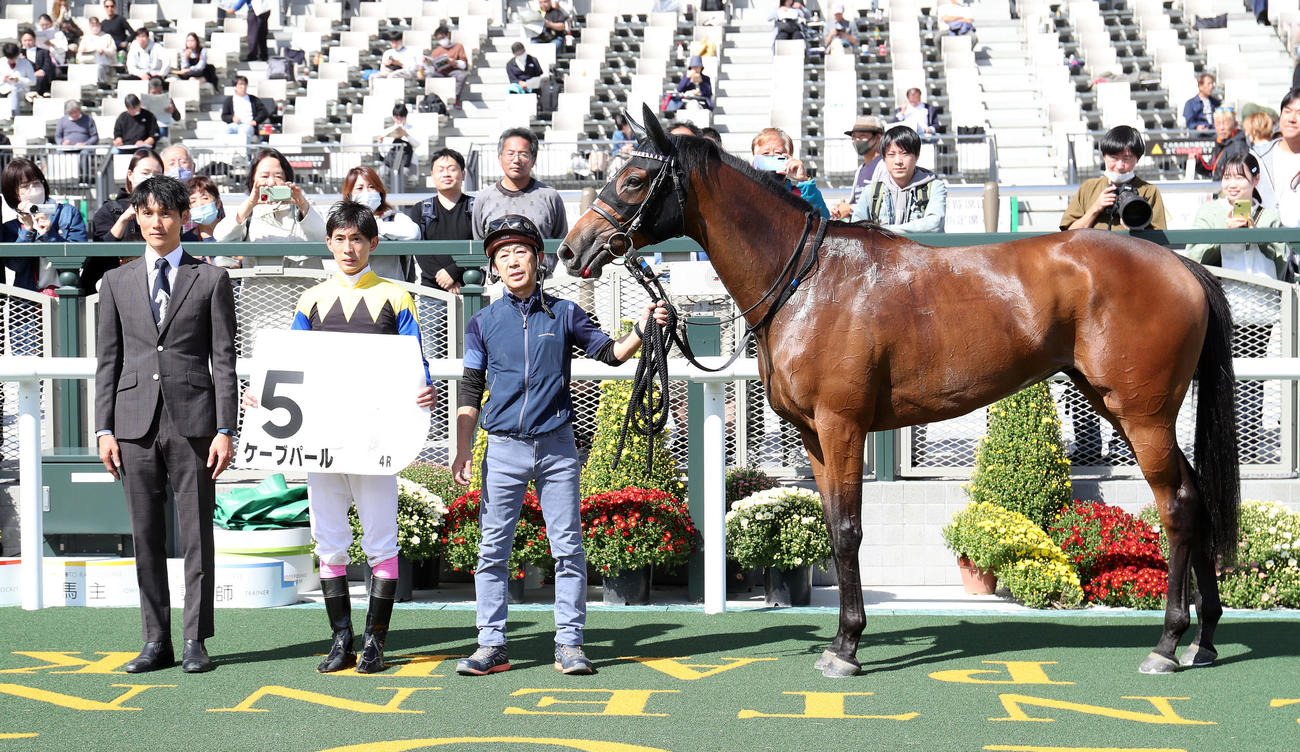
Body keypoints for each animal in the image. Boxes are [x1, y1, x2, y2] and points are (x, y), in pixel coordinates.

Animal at [557, 105, 1240, 678]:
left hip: (1143, 415)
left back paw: (1167, 645)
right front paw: (840, 640)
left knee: (1179, 505)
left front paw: (847, 648)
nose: (571, 248)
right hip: (1122, 407)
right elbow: (834, 526)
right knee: (1198, 496)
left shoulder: (843, 425)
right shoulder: (814, 435)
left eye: (635, 179)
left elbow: (849, 530)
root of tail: (1180, 266)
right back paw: (1204, 640)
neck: (808, 279)